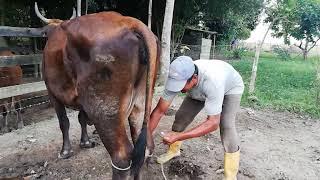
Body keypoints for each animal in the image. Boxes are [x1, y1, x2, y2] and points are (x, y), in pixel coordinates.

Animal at [34, 2, 159, 180]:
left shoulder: (52, 93)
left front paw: (65, 151)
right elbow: (81, 118)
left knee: (121, 157)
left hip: (103, 110)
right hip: (139, 104)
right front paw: (85, 142)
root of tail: (130, 22)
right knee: (145, 147)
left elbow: (64, 122)